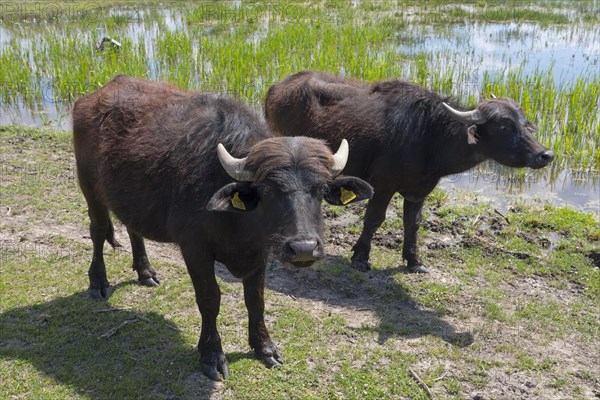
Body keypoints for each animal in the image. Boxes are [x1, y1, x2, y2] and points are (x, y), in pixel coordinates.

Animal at [70, 76, 370, 382]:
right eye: (267, 190)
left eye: (321, 189)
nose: (303, 249)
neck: (237, 221)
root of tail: (96, 95)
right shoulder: (194, 249)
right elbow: (209, 299)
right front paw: (211, 355)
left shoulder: (258, 253)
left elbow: (256, 299)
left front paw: (264, 348)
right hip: (88, 185)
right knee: (98, 230)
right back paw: (99, 282)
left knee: (133, 229)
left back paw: (145, 272)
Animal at [264, 70, 556, 274]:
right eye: (505, 127)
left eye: (525, 124)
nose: (546, 154)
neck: (431, 137)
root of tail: (277, 87)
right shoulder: (383, 185)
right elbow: (374, 219)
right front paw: (360, 257)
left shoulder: (419, 192)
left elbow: (413, 223)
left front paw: (414, 260)